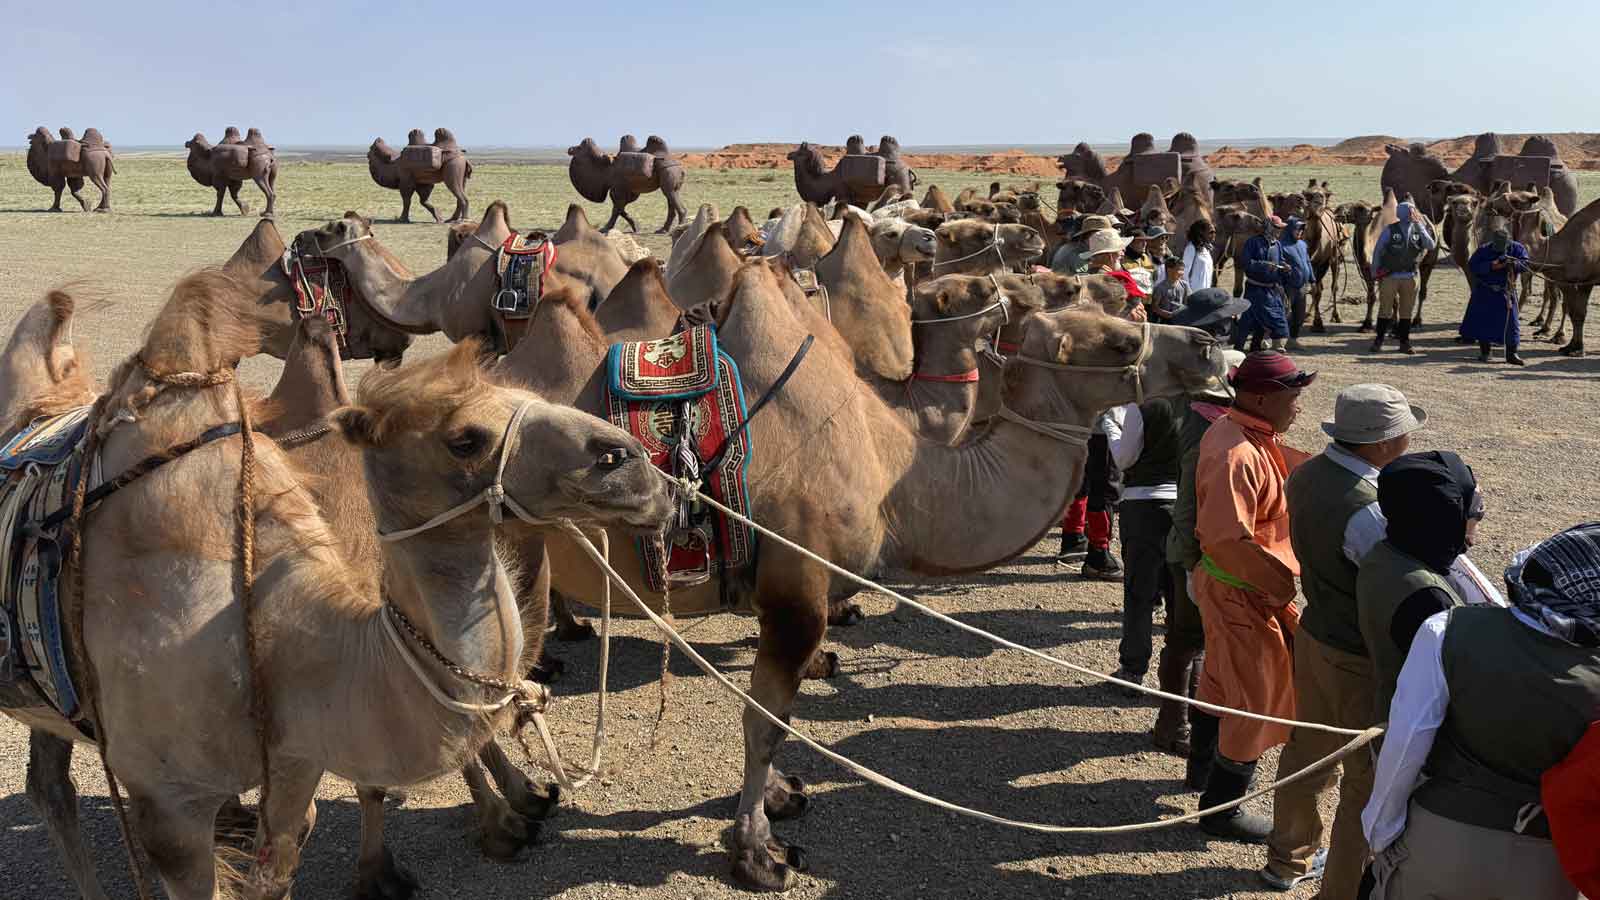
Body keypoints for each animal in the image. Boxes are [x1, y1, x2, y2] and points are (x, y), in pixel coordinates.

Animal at [0, 270, 673, 900]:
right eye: (464, 439)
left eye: (529, 395)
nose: (634, 465)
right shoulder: (166, 804)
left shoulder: (294, 762)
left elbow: (286, 854)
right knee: (52, 789)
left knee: (48, 782)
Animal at [506, 257, 1223, 890]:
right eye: (1120, 338)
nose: (1210, 345)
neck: (893, 474)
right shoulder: (798, 592)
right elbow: (765, 724)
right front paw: (757, 854)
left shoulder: (779, 599)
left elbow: (771, 718)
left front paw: (781, 797)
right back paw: (512, 813)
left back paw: (524, 800)